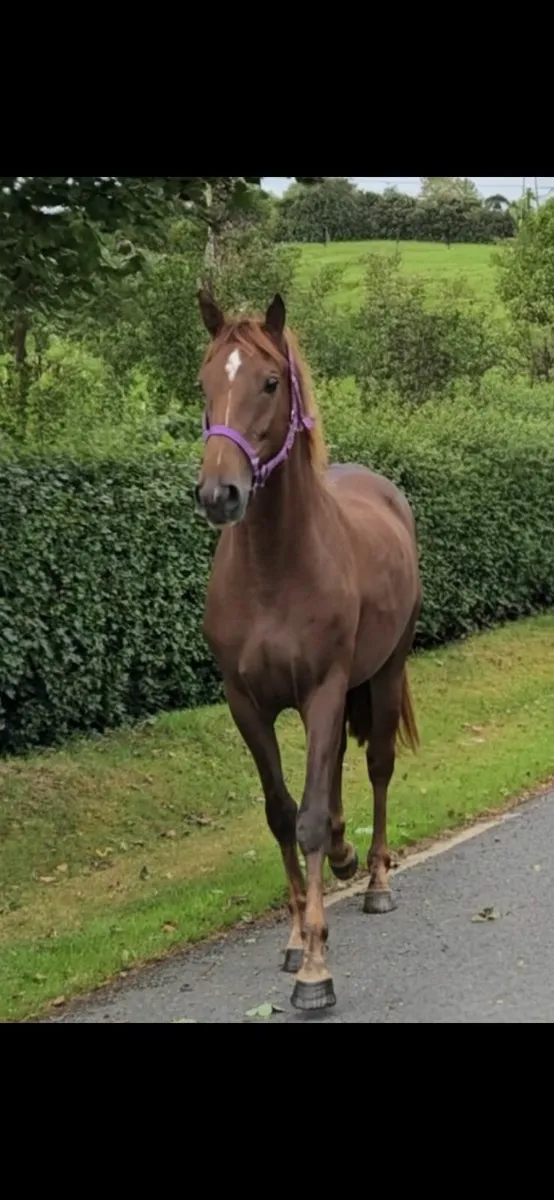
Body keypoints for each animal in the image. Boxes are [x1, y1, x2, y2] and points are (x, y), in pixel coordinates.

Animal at [195, 289, 422, 1012]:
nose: (219, 493)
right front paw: (297, 936)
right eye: (204, 382)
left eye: (270, 382)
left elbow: (313, 818)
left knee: (375, 766)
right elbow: (281, 811)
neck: (274, 569)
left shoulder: (322, 689)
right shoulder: (247, 705)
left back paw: (375, 879)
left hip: (384, 671)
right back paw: (349, 861)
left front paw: (316, 970)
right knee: (342, 769)